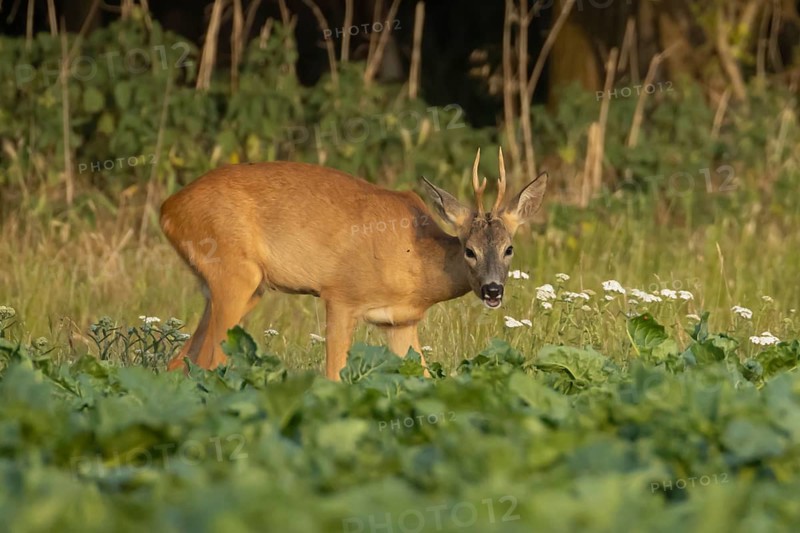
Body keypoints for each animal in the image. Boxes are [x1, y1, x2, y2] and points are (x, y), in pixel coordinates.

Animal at [160, 148, 547, 380]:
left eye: (509, 248)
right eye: (469, 250)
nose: (492, 290)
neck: (417, 261)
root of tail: (167, 210)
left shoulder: (400, 321)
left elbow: (423, 378)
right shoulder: (340, 295)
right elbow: (334, 375)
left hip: (236, 287)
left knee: (180, 362)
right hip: (235, 274)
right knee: (210, 361)